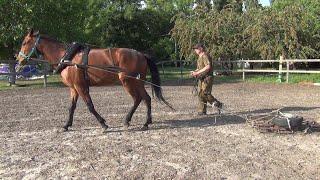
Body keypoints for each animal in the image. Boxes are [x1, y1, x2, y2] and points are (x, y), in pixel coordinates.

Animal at [16, 28, 174, 131]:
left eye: (25, 42)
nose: (18, 61)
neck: (68, 58)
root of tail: (141, 54)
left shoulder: (81, 87)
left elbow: (90, 106)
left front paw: (103, 124)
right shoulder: (74, 88)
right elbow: (71, 107)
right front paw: (66, 125)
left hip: (129, 81)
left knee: (138, 99)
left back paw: (131, 121)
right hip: (138, 82)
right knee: (146, 98)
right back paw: (145, 122)